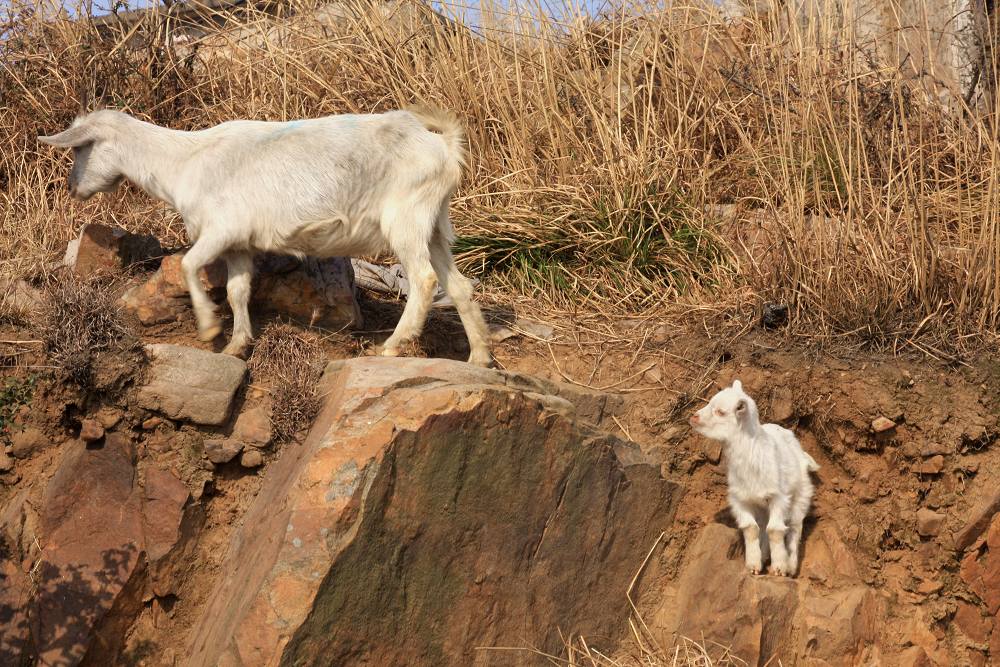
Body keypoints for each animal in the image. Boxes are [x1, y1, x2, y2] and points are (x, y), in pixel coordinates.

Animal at [39, 106, 492, 366]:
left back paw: (393, 346)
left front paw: (209, 328)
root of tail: (443, 147)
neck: (183, 161)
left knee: (424, 280)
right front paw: (237, 344)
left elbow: (188, 264)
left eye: (80, 148)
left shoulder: (221, 228)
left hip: (406, 217)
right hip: (434, 224)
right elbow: (237, 290)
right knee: (459, 285)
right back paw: (480, 358)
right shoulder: (239, 245)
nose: (71, 187)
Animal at [688, 384, 820, 576]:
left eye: (720, 412)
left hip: (801, 496)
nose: (693, 417)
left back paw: (791, 565)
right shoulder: (739, 498)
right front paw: (753, 565)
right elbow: (750, 528)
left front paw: (779, 567)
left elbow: (775, 530)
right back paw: (764, 556)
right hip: (762, 506)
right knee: (764, 526)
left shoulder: (778, 497)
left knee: (795, 528)